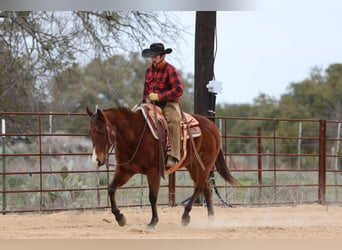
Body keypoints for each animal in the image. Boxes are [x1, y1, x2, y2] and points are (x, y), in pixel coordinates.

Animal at [87, 105, 239, 229]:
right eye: (90, 133)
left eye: (101, 131)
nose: (96, 160)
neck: (135, 135)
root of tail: (213, 127)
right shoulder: (125, 170)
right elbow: (111, 189)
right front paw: (120, 217)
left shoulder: (153, 172)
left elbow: (153, 196)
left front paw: (153, 221)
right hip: (193, 166)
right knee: (206, 187)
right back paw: (210, 219)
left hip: (203, 166)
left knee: (199, 187)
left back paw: (185, 216)